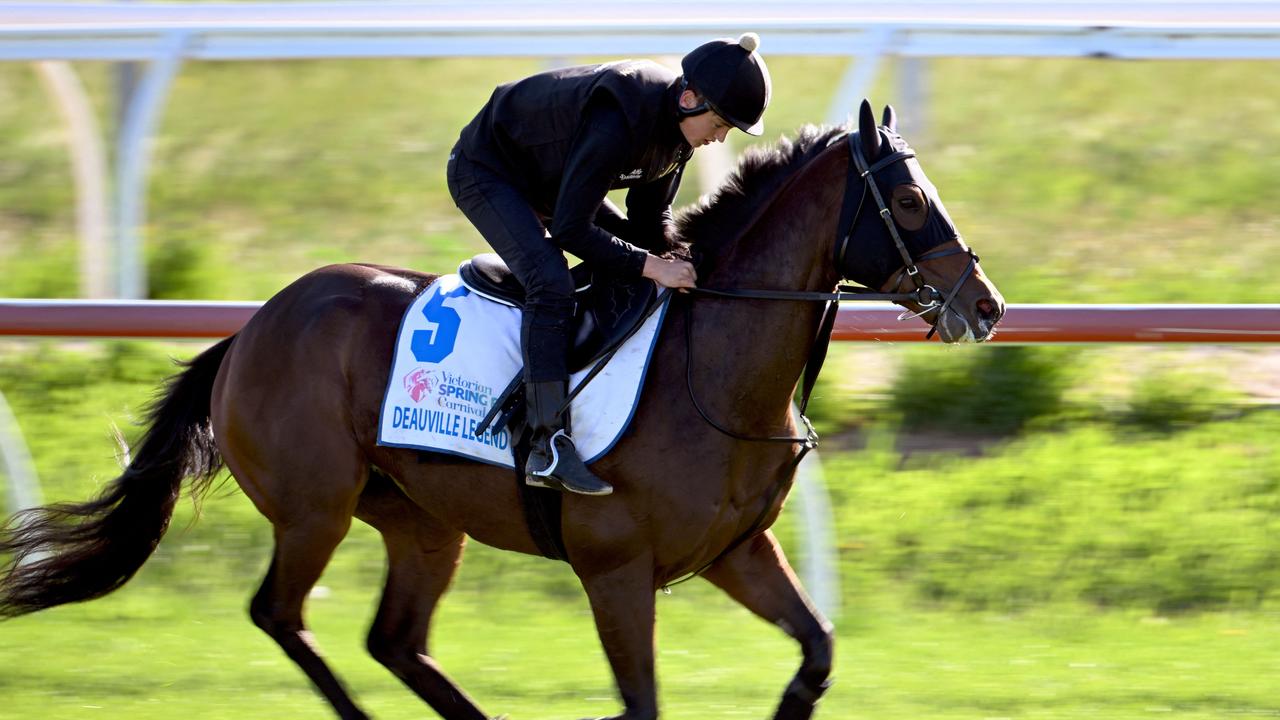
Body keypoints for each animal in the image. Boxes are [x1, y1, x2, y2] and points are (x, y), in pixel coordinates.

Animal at [0, 102, 1003, 717]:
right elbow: (641, 701)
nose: (986, 305)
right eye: (908, 198)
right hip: (316, 507)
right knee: (282, 616)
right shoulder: (615, 568)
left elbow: (817, 649)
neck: (708, 370)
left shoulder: (735, 551)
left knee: (396, 640)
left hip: (421, 521)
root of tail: (249, 329)